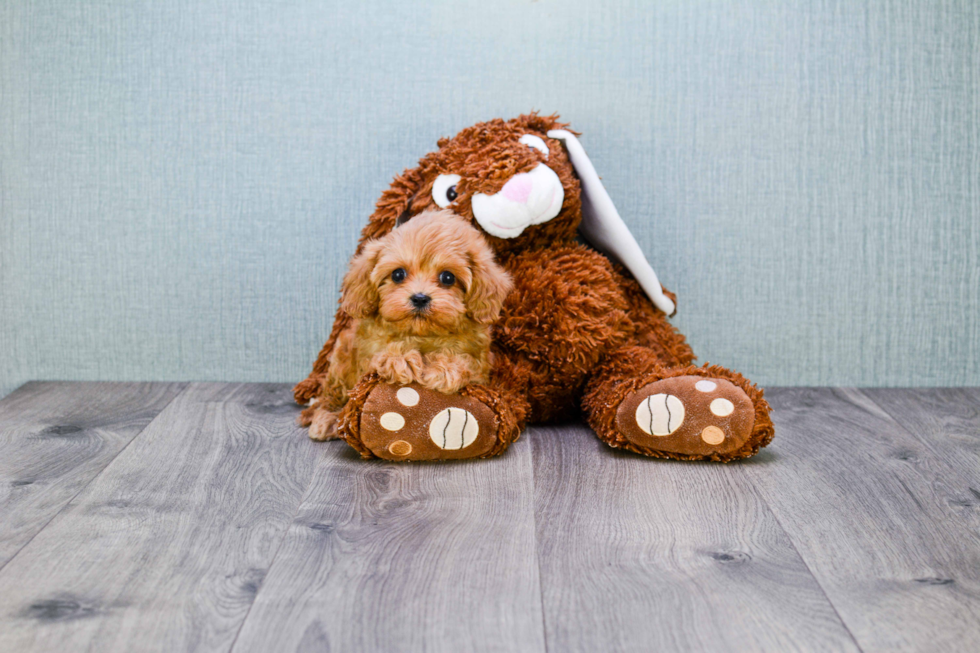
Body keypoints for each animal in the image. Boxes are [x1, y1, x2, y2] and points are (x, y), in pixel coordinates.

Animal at [302, 209, 512, 444]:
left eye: (448, 277)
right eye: (398, 274)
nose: (420, 298)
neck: (421, 334)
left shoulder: (481, 368)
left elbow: (466, 361)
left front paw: (445, 368)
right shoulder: (366, 355)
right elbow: (381, 356)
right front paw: (400, 359)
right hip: (340, 360)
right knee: (331, 396)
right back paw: (327, 418)